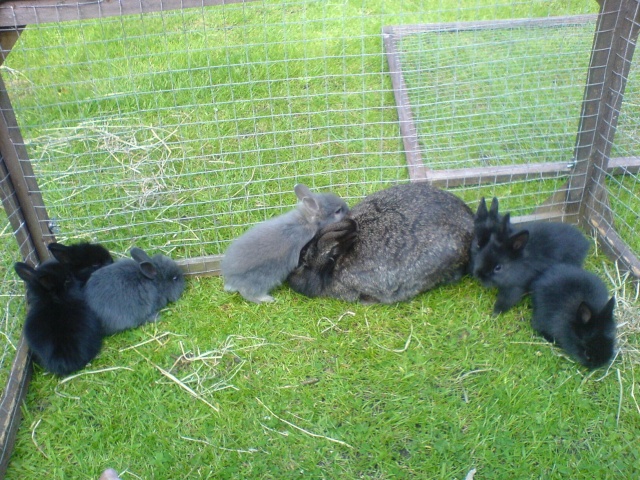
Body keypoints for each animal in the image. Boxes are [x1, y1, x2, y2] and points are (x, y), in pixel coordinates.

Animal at [221, 184, 350, 304]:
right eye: (338, 211)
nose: (348, 210)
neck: (307, 220)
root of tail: (231, 278)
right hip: (261, 279)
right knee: (248, 293)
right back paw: (267, 299)